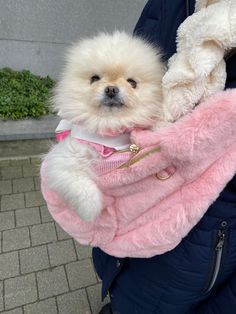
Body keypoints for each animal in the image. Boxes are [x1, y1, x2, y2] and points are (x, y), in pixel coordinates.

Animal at [45, 30, 165, 220]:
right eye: (94, 79)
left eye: (132, 82)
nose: (111, 89)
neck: (109, 124)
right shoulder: (65, 156)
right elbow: (78, 182)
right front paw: (91, 210)